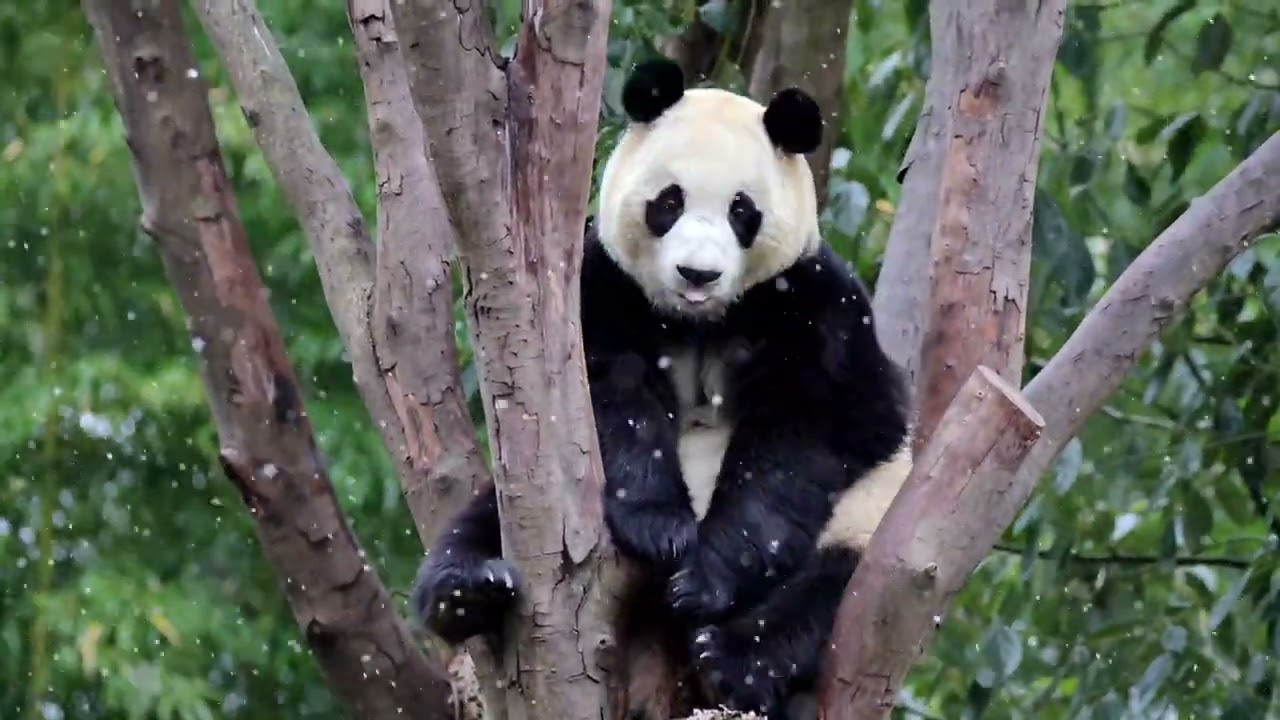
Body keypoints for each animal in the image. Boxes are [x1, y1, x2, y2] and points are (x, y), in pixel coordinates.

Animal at [410, 59, 914, 720]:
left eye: (742, 211)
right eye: (668, 202)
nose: (697, 274)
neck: (701, 321)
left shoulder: (815, 307)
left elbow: (808, 432)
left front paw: (704, 575)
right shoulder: (603, 289)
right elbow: (610, 401)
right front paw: (661, 527)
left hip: (868, 517)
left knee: (833, 588)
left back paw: (731, 661)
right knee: (477, 521)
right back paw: (466, 590)